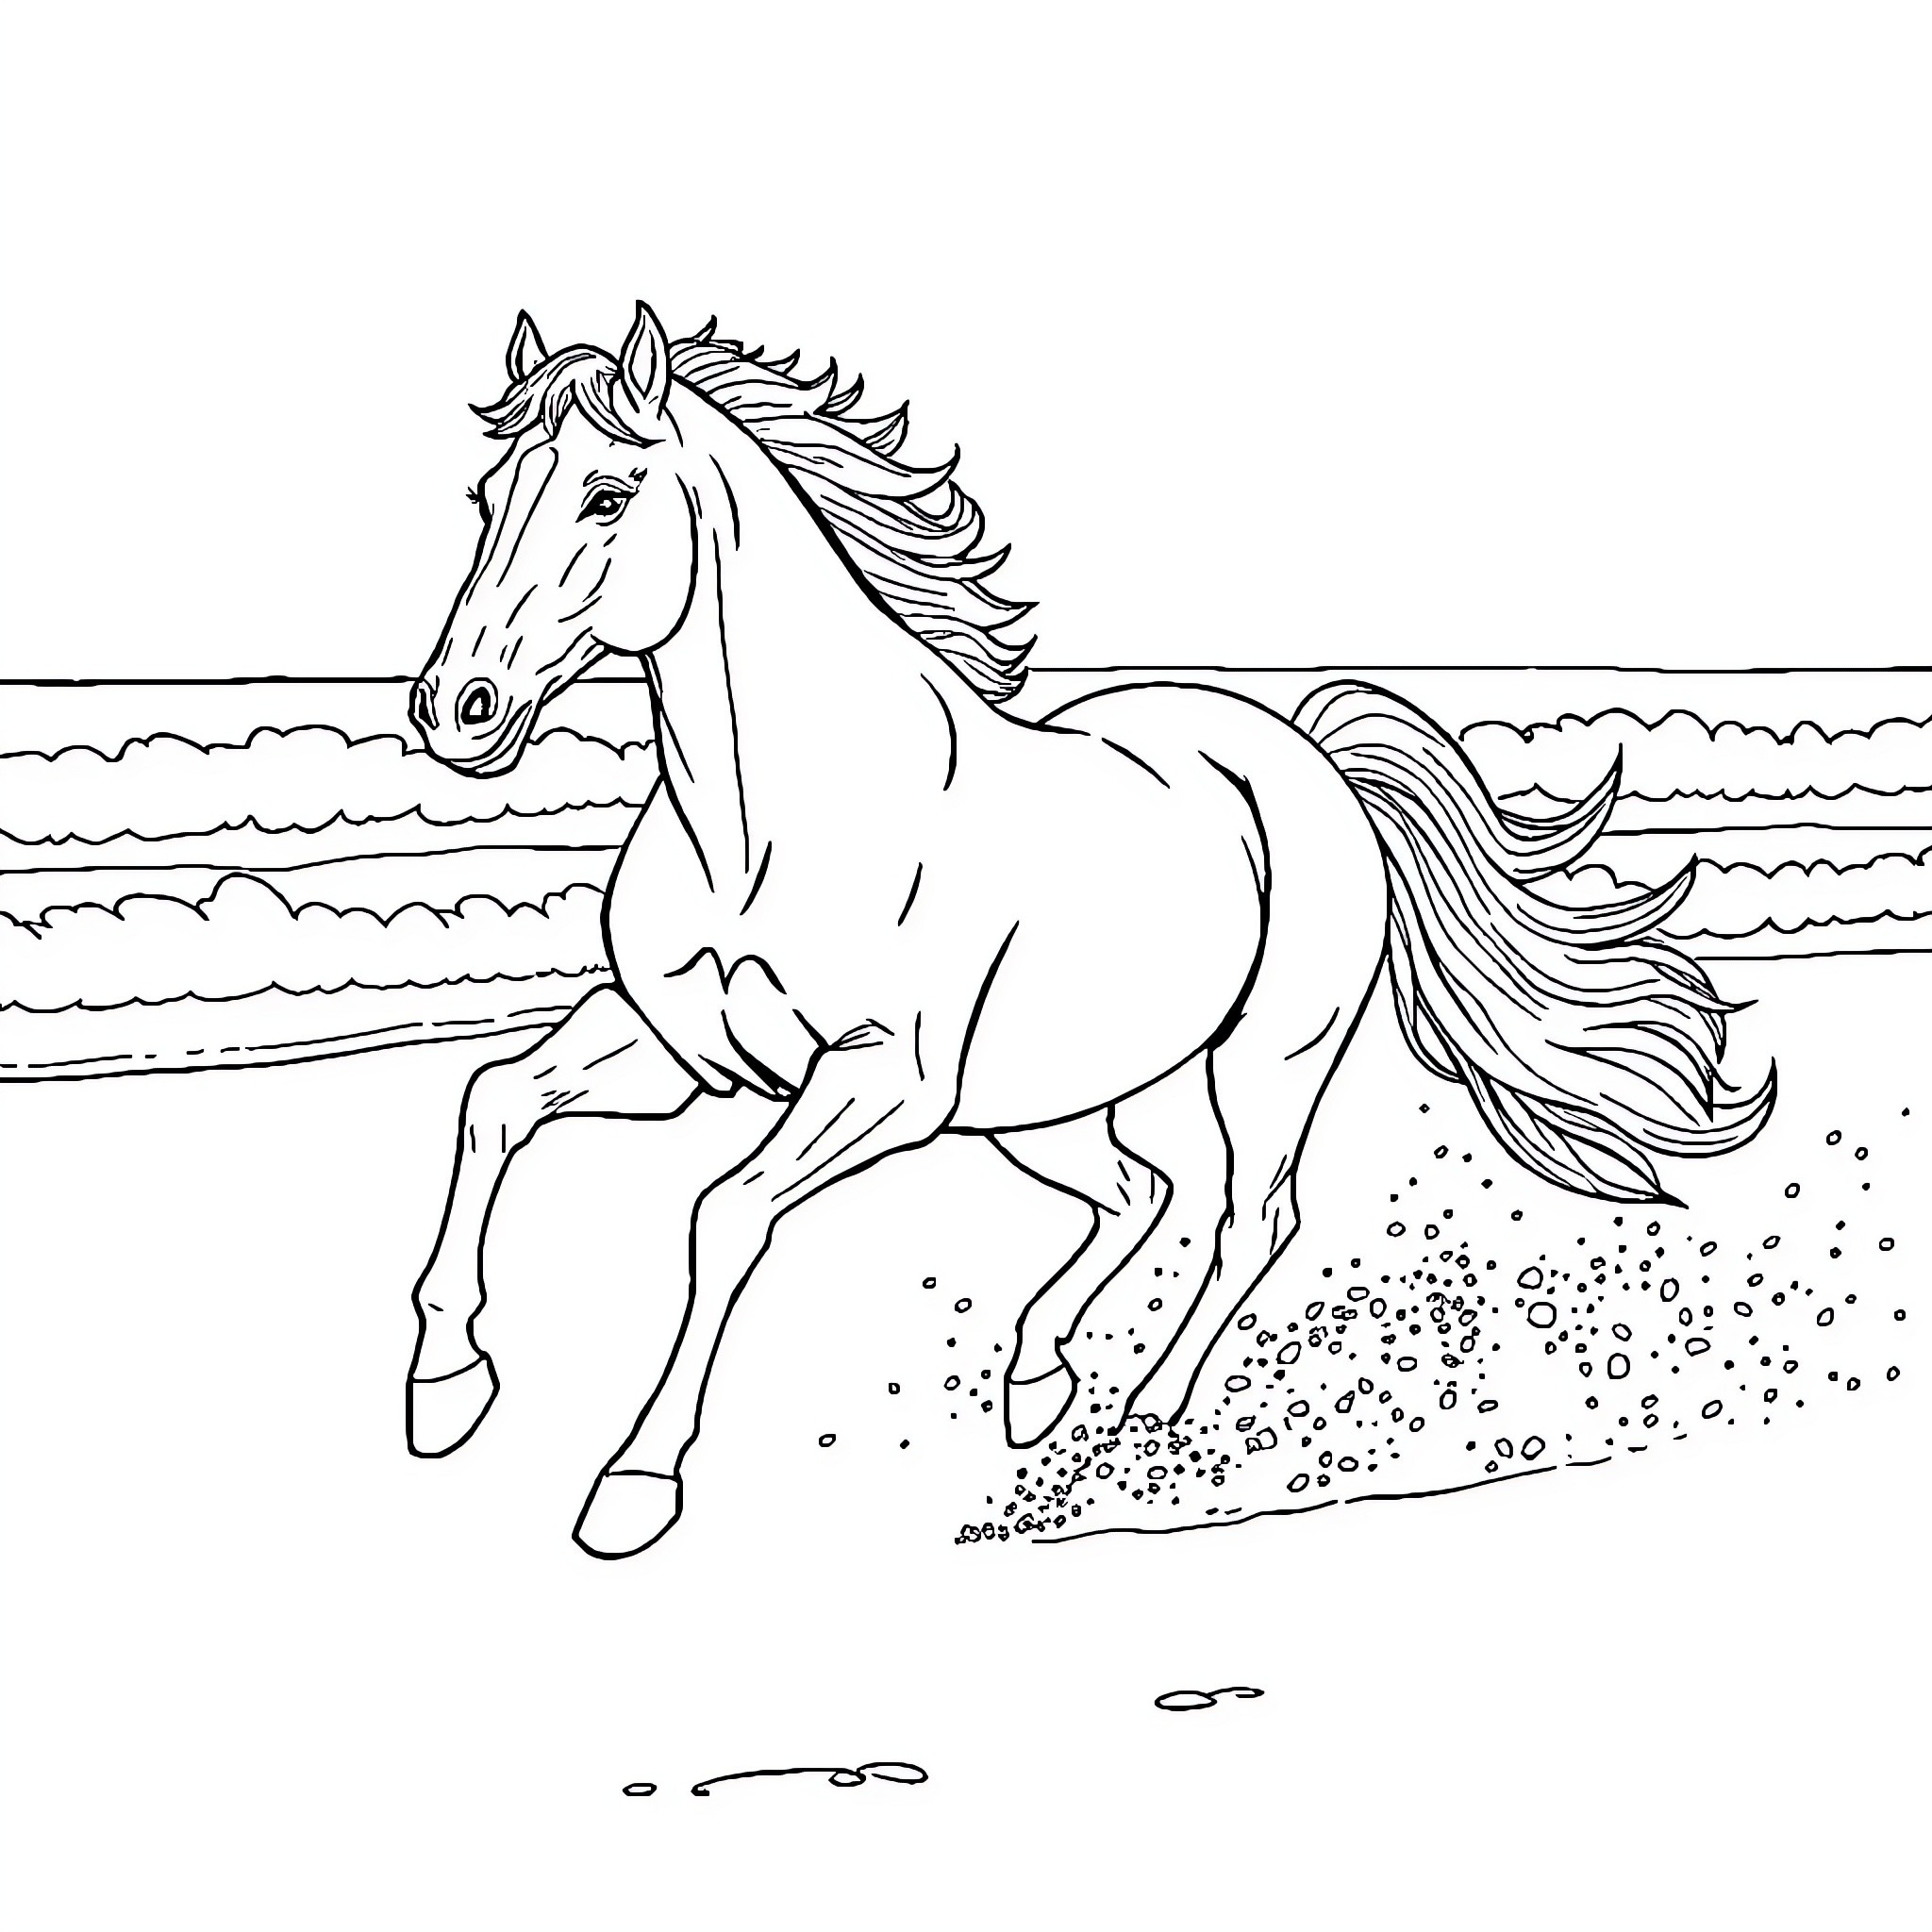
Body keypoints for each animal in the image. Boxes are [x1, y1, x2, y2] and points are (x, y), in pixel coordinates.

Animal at [404, 300, 1774, 1559]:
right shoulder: (681, 1052)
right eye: (484, 494)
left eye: (606, 495)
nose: (455, 708)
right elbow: (492, 1101)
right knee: (1141, 1191)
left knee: (1245, 1217)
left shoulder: (879, 1084)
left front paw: (631, 1487)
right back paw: (1037, 1381)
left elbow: (720, 1215)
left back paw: (1148, 1417)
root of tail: (1306, 752)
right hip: (1046, 1102)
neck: (767, 821)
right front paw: (444, 1389)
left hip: (1262, 1064)